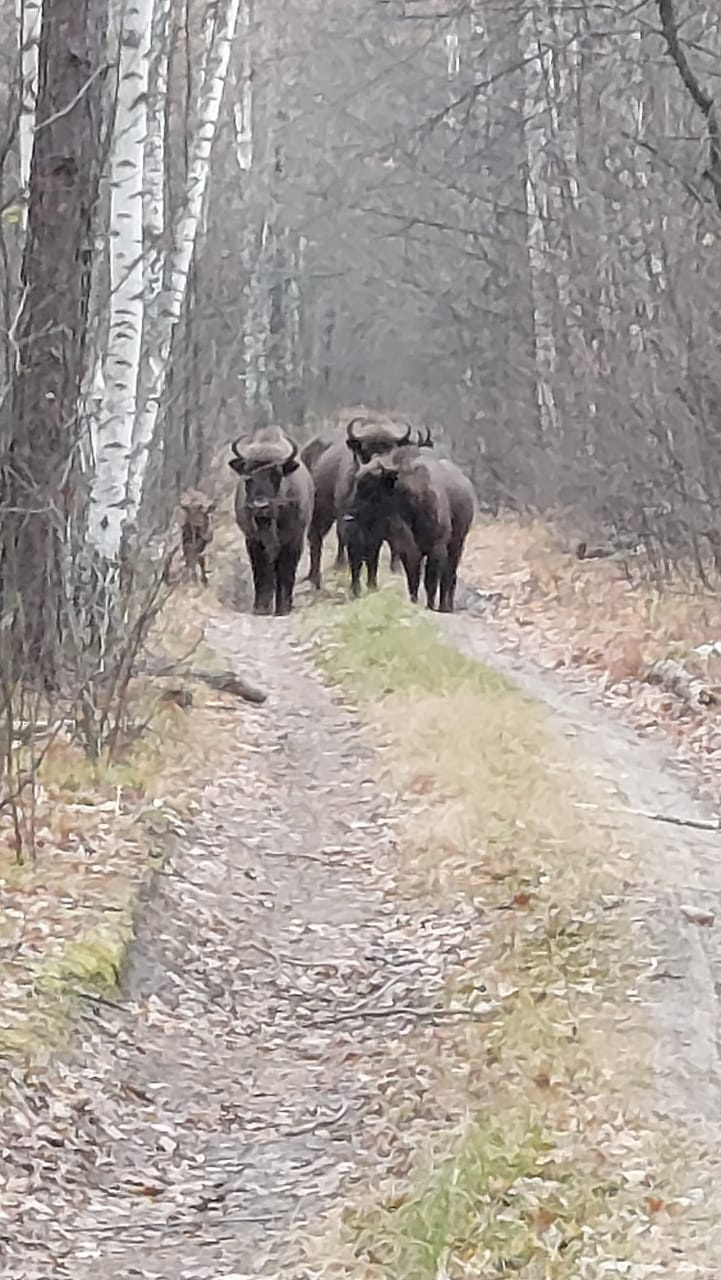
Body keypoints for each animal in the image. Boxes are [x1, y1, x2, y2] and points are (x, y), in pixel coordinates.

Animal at [227, 427, 313, 616]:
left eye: (277, 474)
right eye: (248, 474)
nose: (261, 506)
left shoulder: (293, 539)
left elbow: (286, 571)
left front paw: (283, 607)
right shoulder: (253, 540)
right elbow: (261, 572)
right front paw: (261, 608)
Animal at [345, 445, 476, 614]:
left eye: (371, 488)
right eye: (357, 484)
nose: (350, 514)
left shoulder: (437, 548)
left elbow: (430, 581)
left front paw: (430, 606)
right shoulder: (408, 550)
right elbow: (413, 578)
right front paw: (414, 601)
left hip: (457, 545)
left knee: (449, 576)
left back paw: (445, 606)